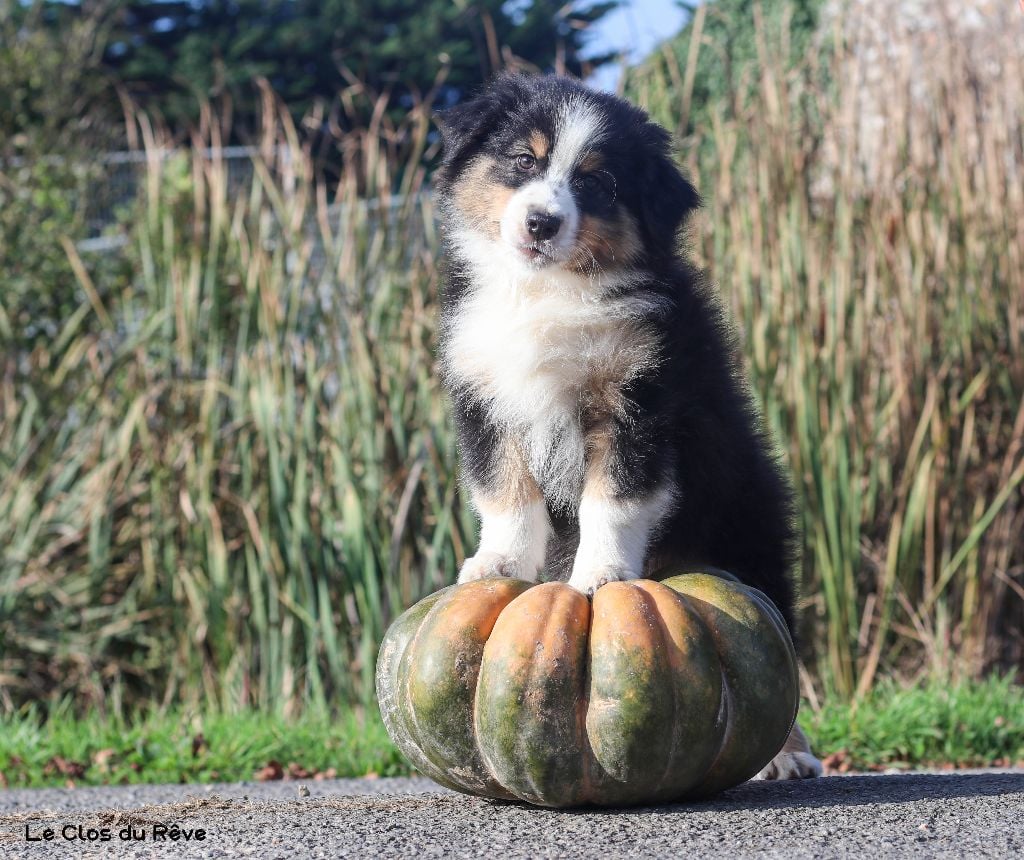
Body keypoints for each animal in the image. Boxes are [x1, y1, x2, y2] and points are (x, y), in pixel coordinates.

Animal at [434, 73, 823, 778]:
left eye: (597, 183)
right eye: (524, 159)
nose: (541, 221)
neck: (548, 291)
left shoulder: (637, 402)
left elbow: (611, 500)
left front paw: (601, 576)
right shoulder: (486, 398)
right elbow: (506, 494)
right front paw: (497, 563)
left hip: (753, 540)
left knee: (780, 650)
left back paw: (785, 756)